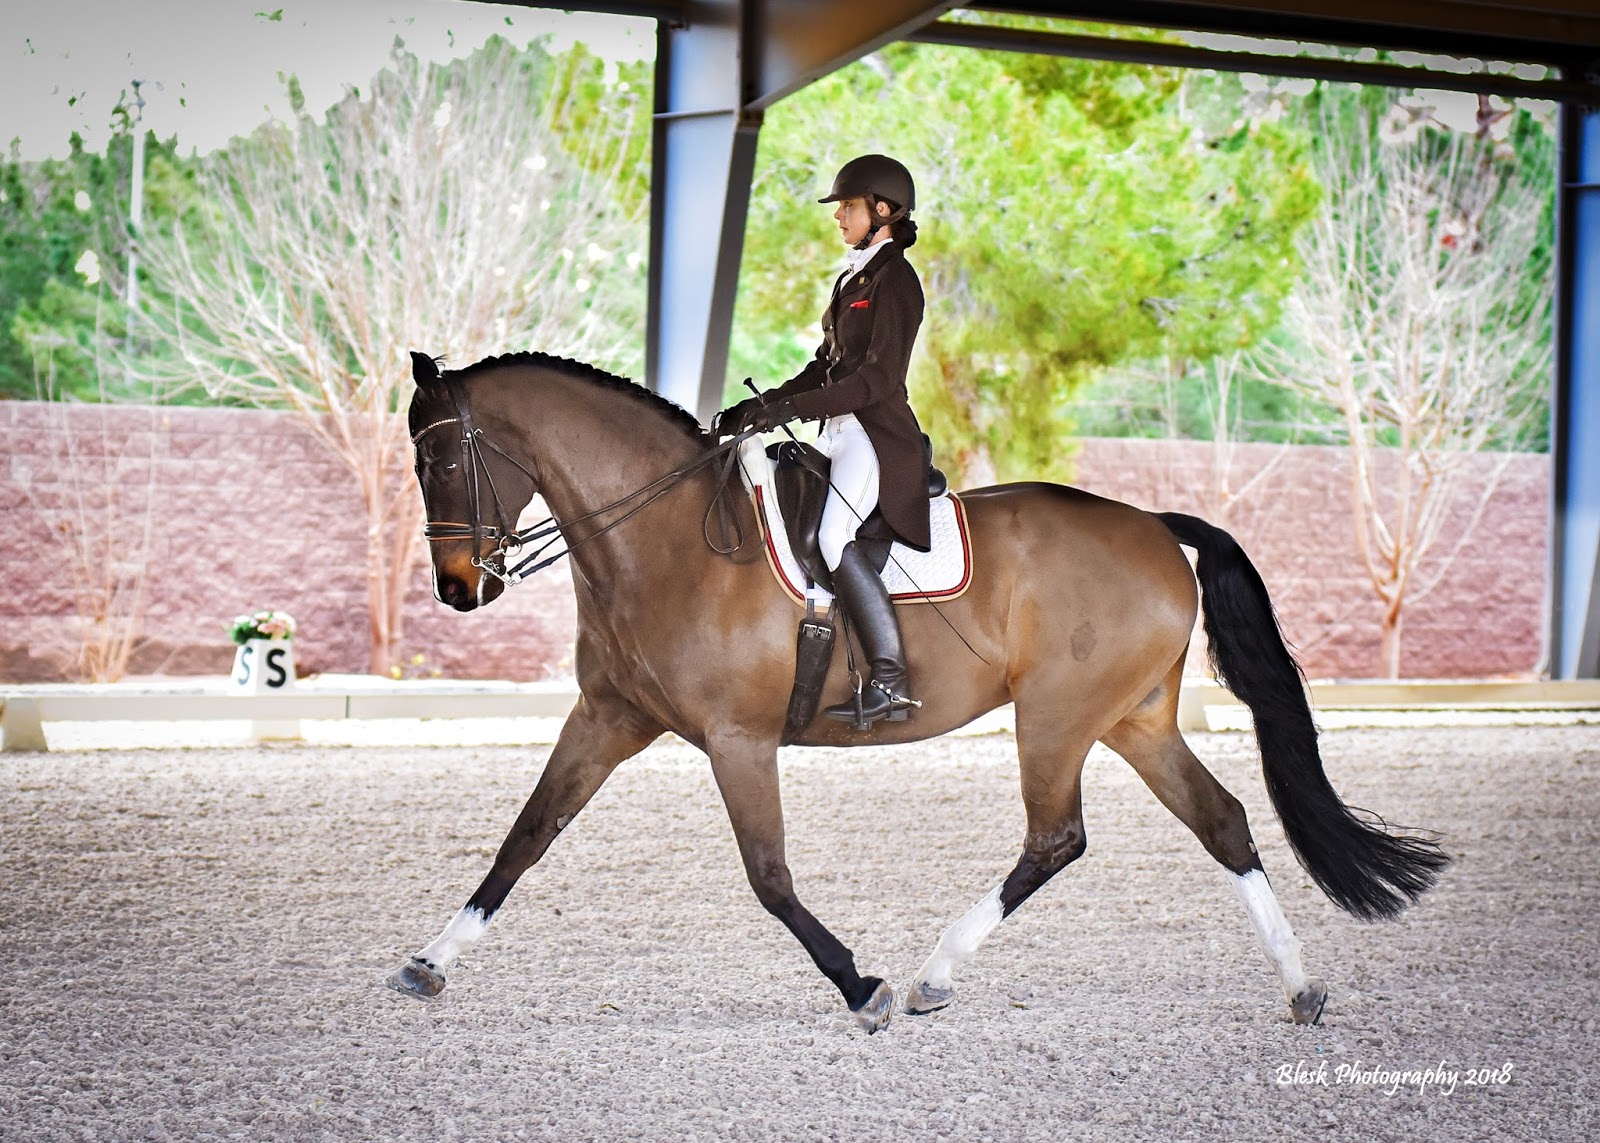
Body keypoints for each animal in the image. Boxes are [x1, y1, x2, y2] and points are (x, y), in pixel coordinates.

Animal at [388, 349, 1449, 1033]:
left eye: (440, 458)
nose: (459, 589)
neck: (663, 537)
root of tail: (1153, 522)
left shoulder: (737, 738)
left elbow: (768, 876)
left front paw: (861, 987)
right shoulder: (610, 716)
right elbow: (525, 836)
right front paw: (429, 962)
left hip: (1057, 717)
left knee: (1056, 837)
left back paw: (935, 972)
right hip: (1132, 718)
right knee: (1220, 819)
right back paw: (1301, 988)